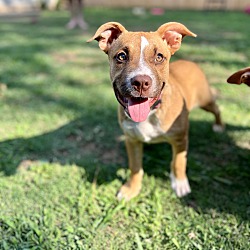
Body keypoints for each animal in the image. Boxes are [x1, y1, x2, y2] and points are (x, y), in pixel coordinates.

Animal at [88, 21, 225, 201]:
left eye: (159, 57)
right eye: (121, 56)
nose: (141, 82)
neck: (151, 113)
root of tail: (190, 62)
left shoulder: (180, 139)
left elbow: (178, 162)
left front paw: (180, 184)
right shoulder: (132, 140)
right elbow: (135, 167)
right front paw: (131, 189)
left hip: (205, 100)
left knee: (217, 108)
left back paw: (219, 125)